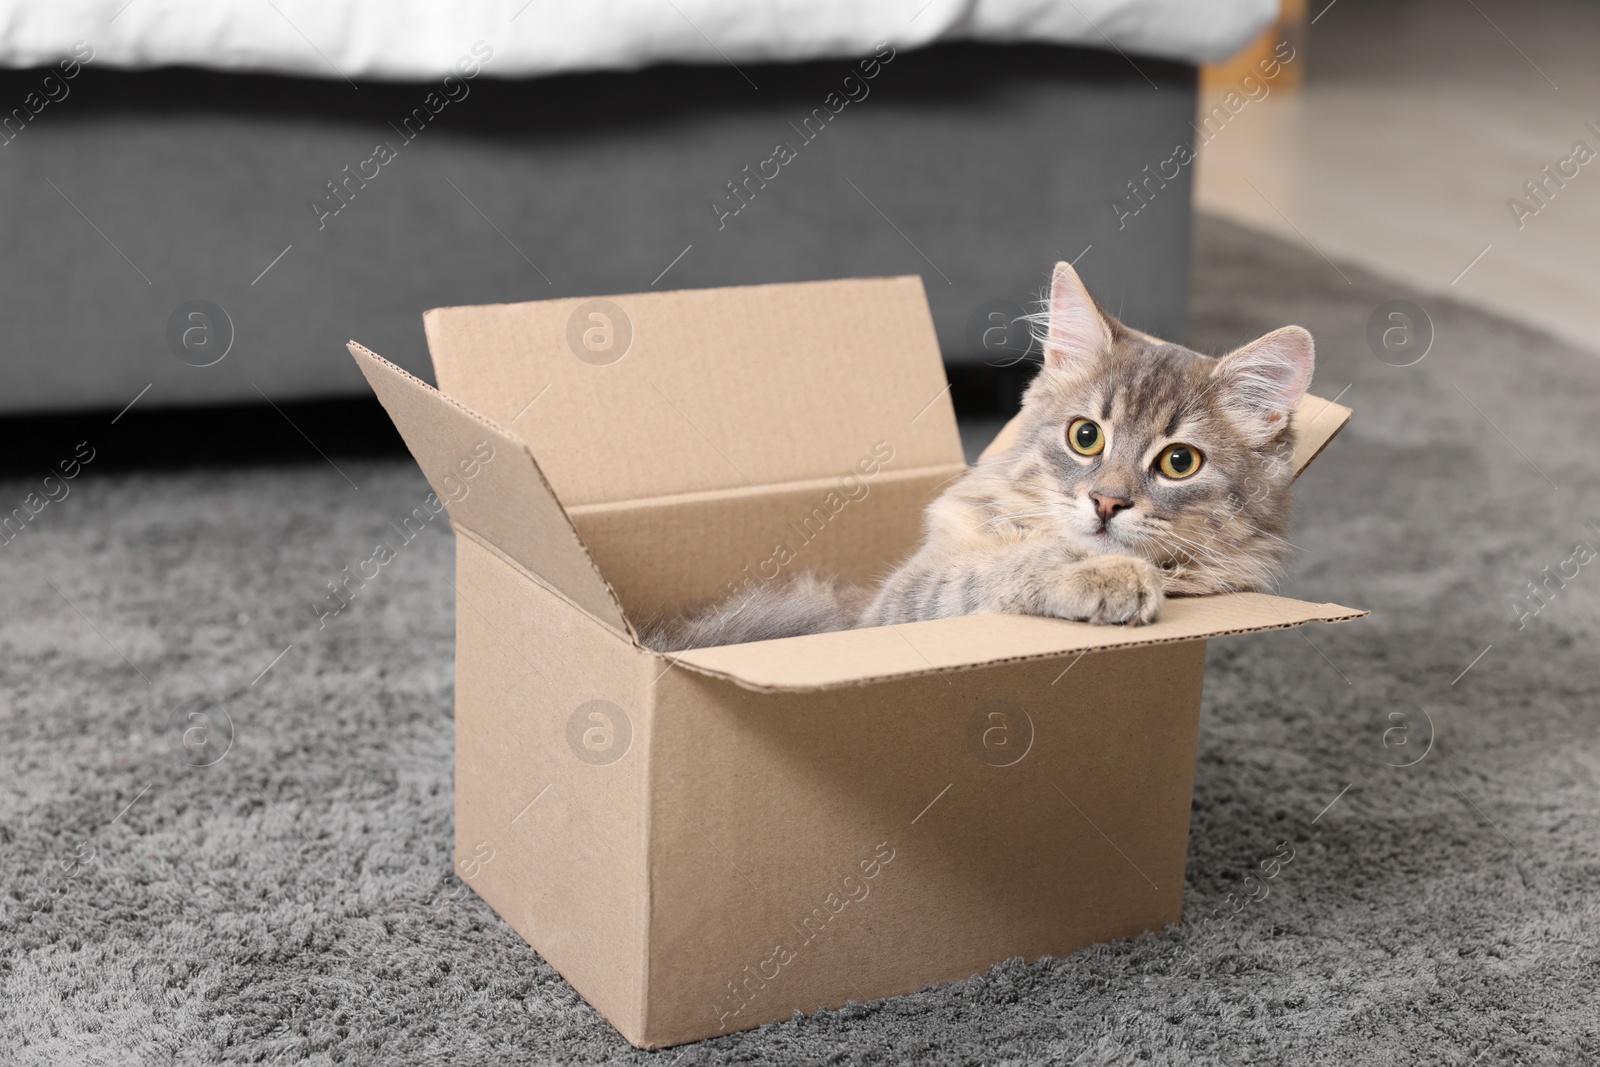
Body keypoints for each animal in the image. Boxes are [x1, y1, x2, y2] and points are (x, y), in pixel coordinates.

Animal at [636, 262, 1312, 655]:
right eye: (1085, 437)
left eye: (1178, 463)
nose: (1106, 502)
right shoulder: (900, 600)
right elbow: (997, 568)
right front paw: (1103, 576)